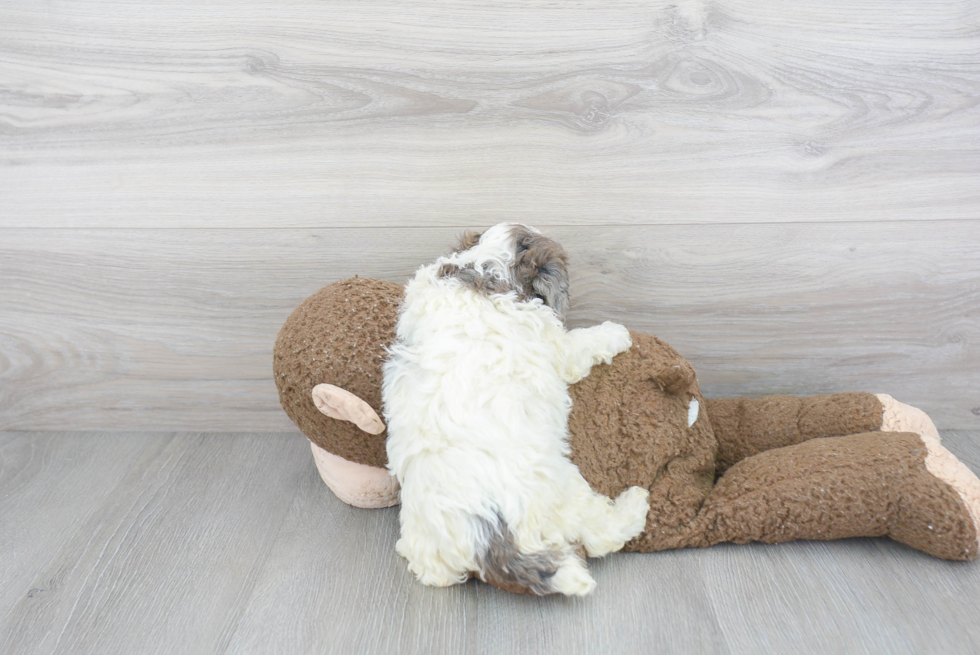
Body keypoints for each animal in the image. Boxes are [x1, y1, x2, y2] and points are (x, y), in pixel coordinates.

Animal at [382, 223, 652, 596]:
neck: (483, 266)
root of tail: (483, 544)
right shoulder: (557, 345)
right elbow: (580, 343)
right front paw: (615, 333)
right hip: (562, 489)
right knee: (601, 535)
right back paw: (635, 504)